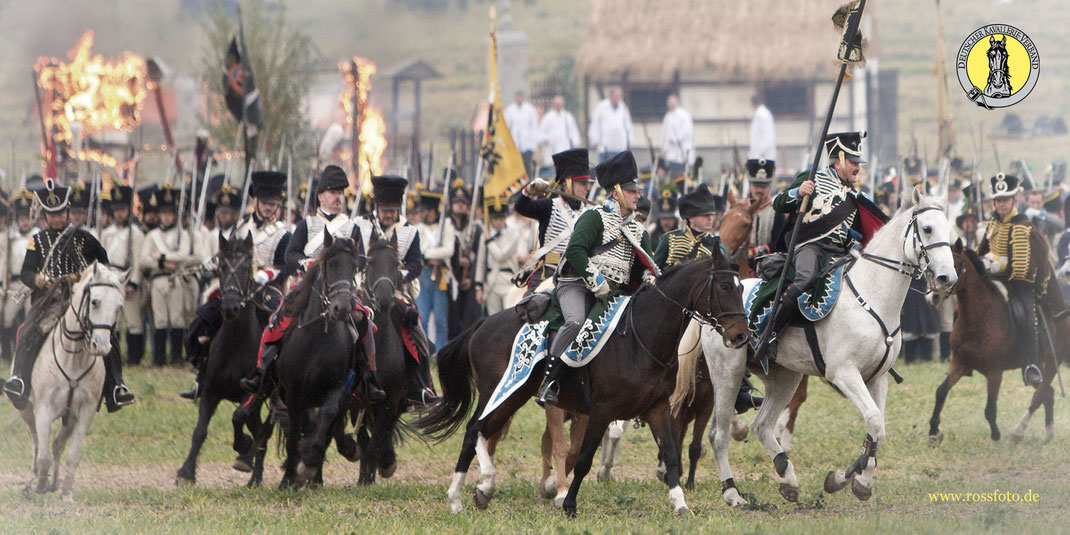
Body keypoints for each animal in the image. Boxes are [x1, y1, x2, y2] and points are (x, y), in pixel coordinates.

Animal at [16, 263, 127, 500]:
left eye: (119, 306)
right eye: (94, 301)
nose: (101, 346)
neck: (74, 359)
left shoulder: (85, 412)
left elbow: (73, 454)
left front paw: (66, 491)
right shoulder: (44, 410)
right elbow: (43, 454)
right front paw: (39, 485)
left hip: (70, 418)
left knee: (57, 445)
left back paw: (55, 482)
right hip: (24, 407)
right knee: (35, 440)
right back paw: (36, 477)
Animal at [175, 234, 267, 485]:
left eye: (246, 267)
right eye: (222, 267)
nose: (230, 308)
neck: (235, 343)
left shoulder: (250, 394)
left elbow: (238, 416)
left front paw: (243, 446)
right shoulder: (210, 391)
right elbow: (200, 431)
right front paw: (186, 472)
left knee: (262, 430)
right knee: (260, 429)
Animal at [413, 245, 749, 513]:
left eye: (741, 288)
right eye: (723, 285)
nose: (741, 336)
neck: (640, 337)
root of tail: (483, 324)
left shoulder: (658, 408)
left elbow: (670, 453)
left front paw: (680, 503)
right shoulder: (602, 410)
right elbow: (585, 458)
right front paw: (569, 504)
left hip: (514, 396)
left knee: (480, 432)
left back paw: (477, 491)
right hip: (498, 393)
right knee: (473, 430)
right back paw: (464, 493)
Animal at [697, 190, 958, 507]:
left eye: (950, 231)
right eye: (928, 228)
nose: (947, 279)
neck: (871, 295)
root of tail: (712, 309)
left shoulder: (877, 378)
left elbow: (877, 431)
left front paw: (854, 480)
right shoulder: (844, 373)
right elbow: (874, 422)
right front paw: (848, 477)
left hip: (784, 378)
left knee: (762, 425)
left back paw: (788, 479)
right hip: (728, 373)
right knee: (718, 434)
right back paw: (732, 492)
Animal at [924, 240, 1065, 445]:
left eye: (955, 265)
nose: (933, 296)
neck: (977, 319)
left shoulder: (995, 373)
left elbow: (990, 409)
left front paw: (996, 437)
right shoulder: (959, 364)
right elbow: (941, 392)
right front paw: (934, 432)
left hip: (1051, 365)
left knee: (1040, 395)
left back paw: (1019, 432)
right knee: (1049, 394)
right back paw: (1047, 433)